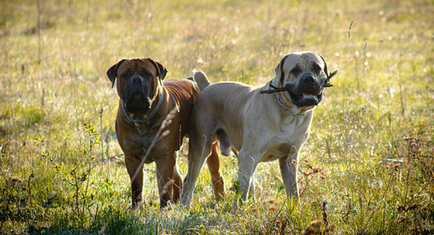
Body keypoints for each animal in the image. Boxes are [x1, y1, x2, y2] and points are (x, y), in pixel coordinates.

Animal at [106, 57, 222, 208]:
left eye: (147, 74)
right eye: (125, 74)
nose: (136, 80)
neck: (141, 118)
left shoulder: (164, 157)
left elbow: (164, 188)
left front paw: (164, 208)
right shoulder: (132, 159)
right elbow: (137, 188)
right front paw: (136, 209)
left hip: (207, 147)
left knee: (215, 174)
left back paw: (219, 199)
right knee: (178, 177)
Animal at [181, 51, 338, 211]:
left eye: (317, 68)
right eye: (295, 70)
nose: (309, 79)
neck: (289, 113)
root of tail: (208, 86)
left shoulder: (289, 157)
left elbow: (293, 189)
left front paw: (294, 210)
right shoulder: (249, 154)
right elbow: (242, 189)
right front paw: (237, 213)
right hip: (202, 148)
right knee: (189, 181)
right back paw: (184, 208)